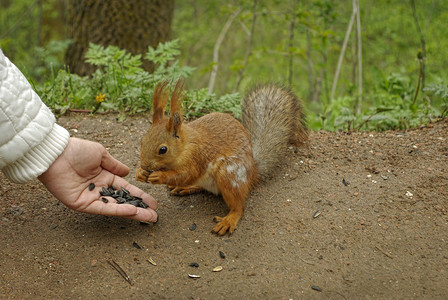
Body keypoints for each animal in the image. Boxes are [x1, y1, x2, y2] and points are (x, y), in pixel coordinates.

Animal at [135, 79, 306, 234]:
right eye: (142, 140)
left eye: (163, 149)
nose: (144, 165)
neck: (185, 146)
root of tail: (252, 174)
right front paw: (140, 173)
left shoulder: (197, 157)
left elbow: (186, 173)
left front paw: (159, 176)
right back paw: (186, 187)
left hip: (229, 175)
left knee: (239, 206)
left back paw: (229, 220)